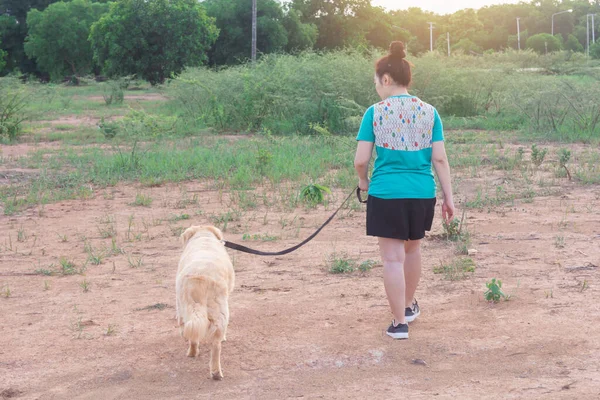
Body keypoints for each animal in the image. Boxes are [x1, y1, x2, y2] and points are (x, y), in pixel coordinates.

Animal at [176, 227, 234, 380]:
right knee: (216, 344)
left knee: (195, 337)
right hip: (220, 312)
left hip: (184, 309)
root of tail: (199, 277)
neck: (203, 236)